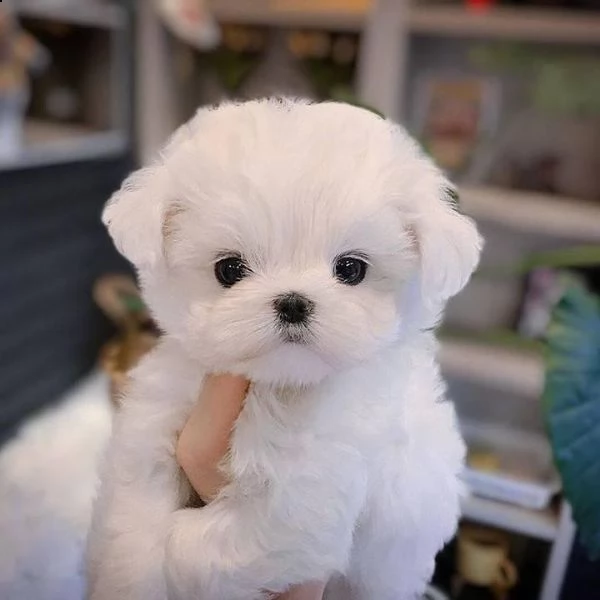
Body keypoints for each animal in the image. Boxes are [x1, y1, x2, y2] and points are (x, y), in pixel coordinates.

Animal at [86, 98, 482, 600]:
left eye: (351, 269)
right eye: (229, 269)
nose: (293, 302)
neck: (274, 386)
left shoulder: (308, 489)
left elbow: (216, 543)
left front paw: (181, 553)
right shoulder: (158, 419)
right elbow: (135, 512)